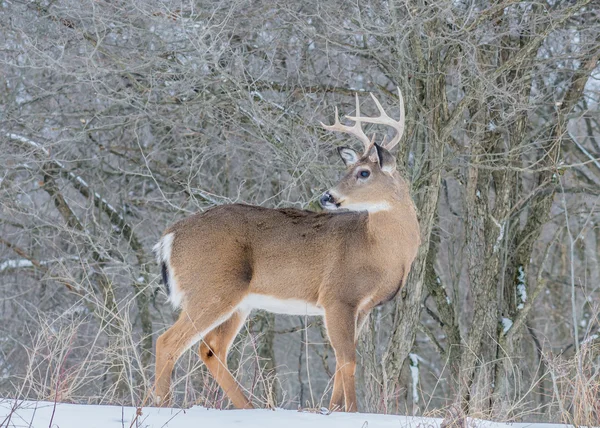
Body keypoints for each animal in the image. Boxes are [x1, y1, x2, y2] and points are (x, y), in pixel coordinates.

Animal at [152, 88, 420, 412]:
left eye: (364, 173)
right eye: (349, 168)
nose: (327, 196)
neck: (380, 251)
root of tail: (169, 237)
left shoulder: (363, 307)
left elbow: (342, 363)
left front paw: (330, 411)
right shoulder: (338, 295)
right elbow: (348, 360)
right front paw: (351, 413)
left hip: (238, 301)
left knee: (211, 349)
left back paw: (249, 408)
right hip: (210, 289)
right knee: (168, 342)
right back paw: (162, 405)